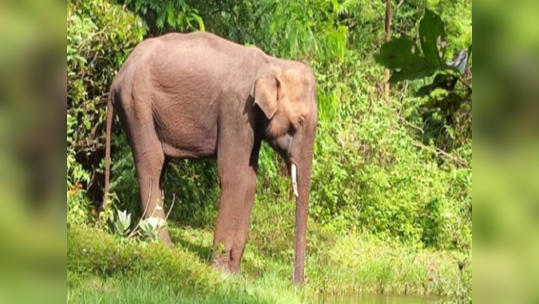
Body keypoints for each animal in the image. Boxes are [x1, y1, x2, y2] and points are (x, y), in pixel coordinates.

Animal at [102, 32, 316, 284]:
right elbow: (234, 177)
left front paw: (235, 273)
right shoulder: (236, 111)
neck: (272, 63)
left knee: (160, 167)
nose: (298, 285)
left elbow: (249, 180)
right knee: (151, 166)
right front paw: (220, 271)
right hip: (137, 104)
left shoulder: (251, 121)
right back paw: (166, 249)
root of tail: (118, 76)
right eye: (300, 121)